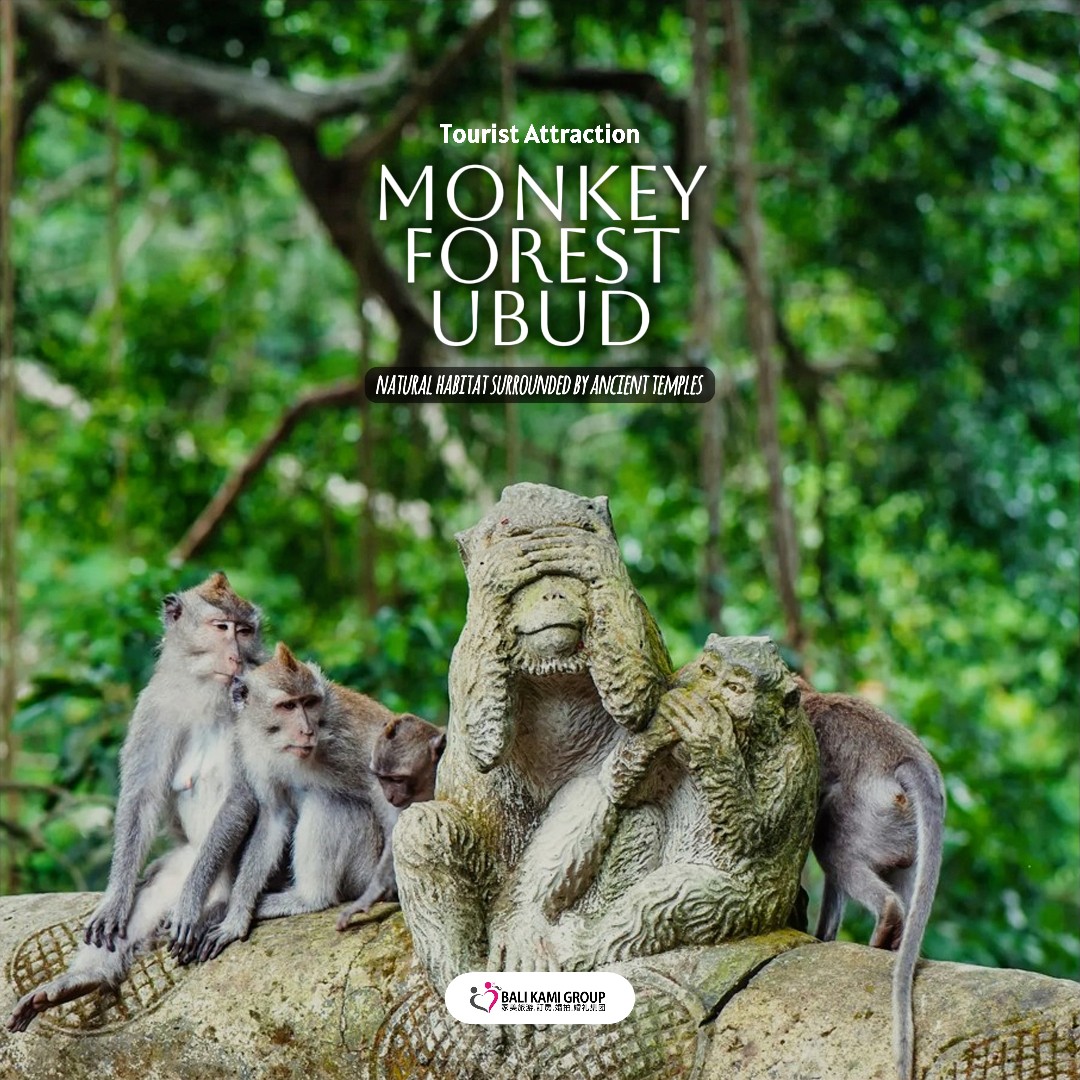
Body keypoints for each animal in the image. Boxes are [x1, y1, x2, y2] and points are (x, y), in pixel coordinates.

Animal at [8, 572, 263, 1032]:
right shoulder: (153, 704)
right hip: (182, 859)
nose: (237, 655)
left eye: (246, 630)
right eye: (221, 627)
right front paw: (114, 900)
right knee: (152, 892)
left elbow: (241, 796)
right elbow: (141, 799)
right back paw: (83, 979)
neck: (207, 692)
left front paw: (190, 905)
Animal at [167, 644, 427, 963]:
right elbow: (274, 818)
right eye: (288, 706)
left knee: (329, 802)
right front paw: (236, 918)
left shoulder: (354, 739)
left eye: (309, 702)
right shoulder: (252, 752)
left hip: (365, 868)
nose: (307, 730)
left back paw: (311, 899)